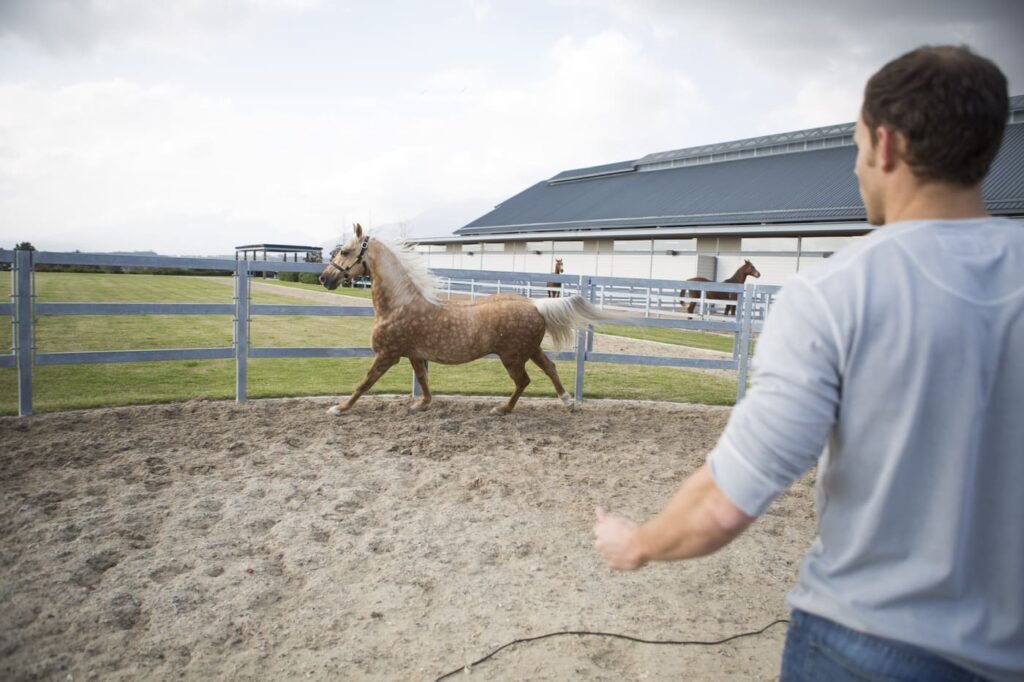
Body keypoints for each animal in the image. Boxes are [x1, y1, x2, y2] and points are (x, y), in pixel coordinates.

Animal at [318, 225, 613, 415]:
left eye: (346, 251)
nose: (324, 278)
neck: (399, 305)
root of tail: (535, 304)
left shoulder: (388, 354)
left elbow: (365, 382)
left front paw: (339, 408)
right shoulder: (413, 353)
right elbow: (423, 379)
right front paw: (422, 404)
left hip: (513, 357)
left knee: (524, 381)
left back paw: (502, 409)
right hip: (530, 350)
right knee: (550, 369)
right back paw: (568, 403)